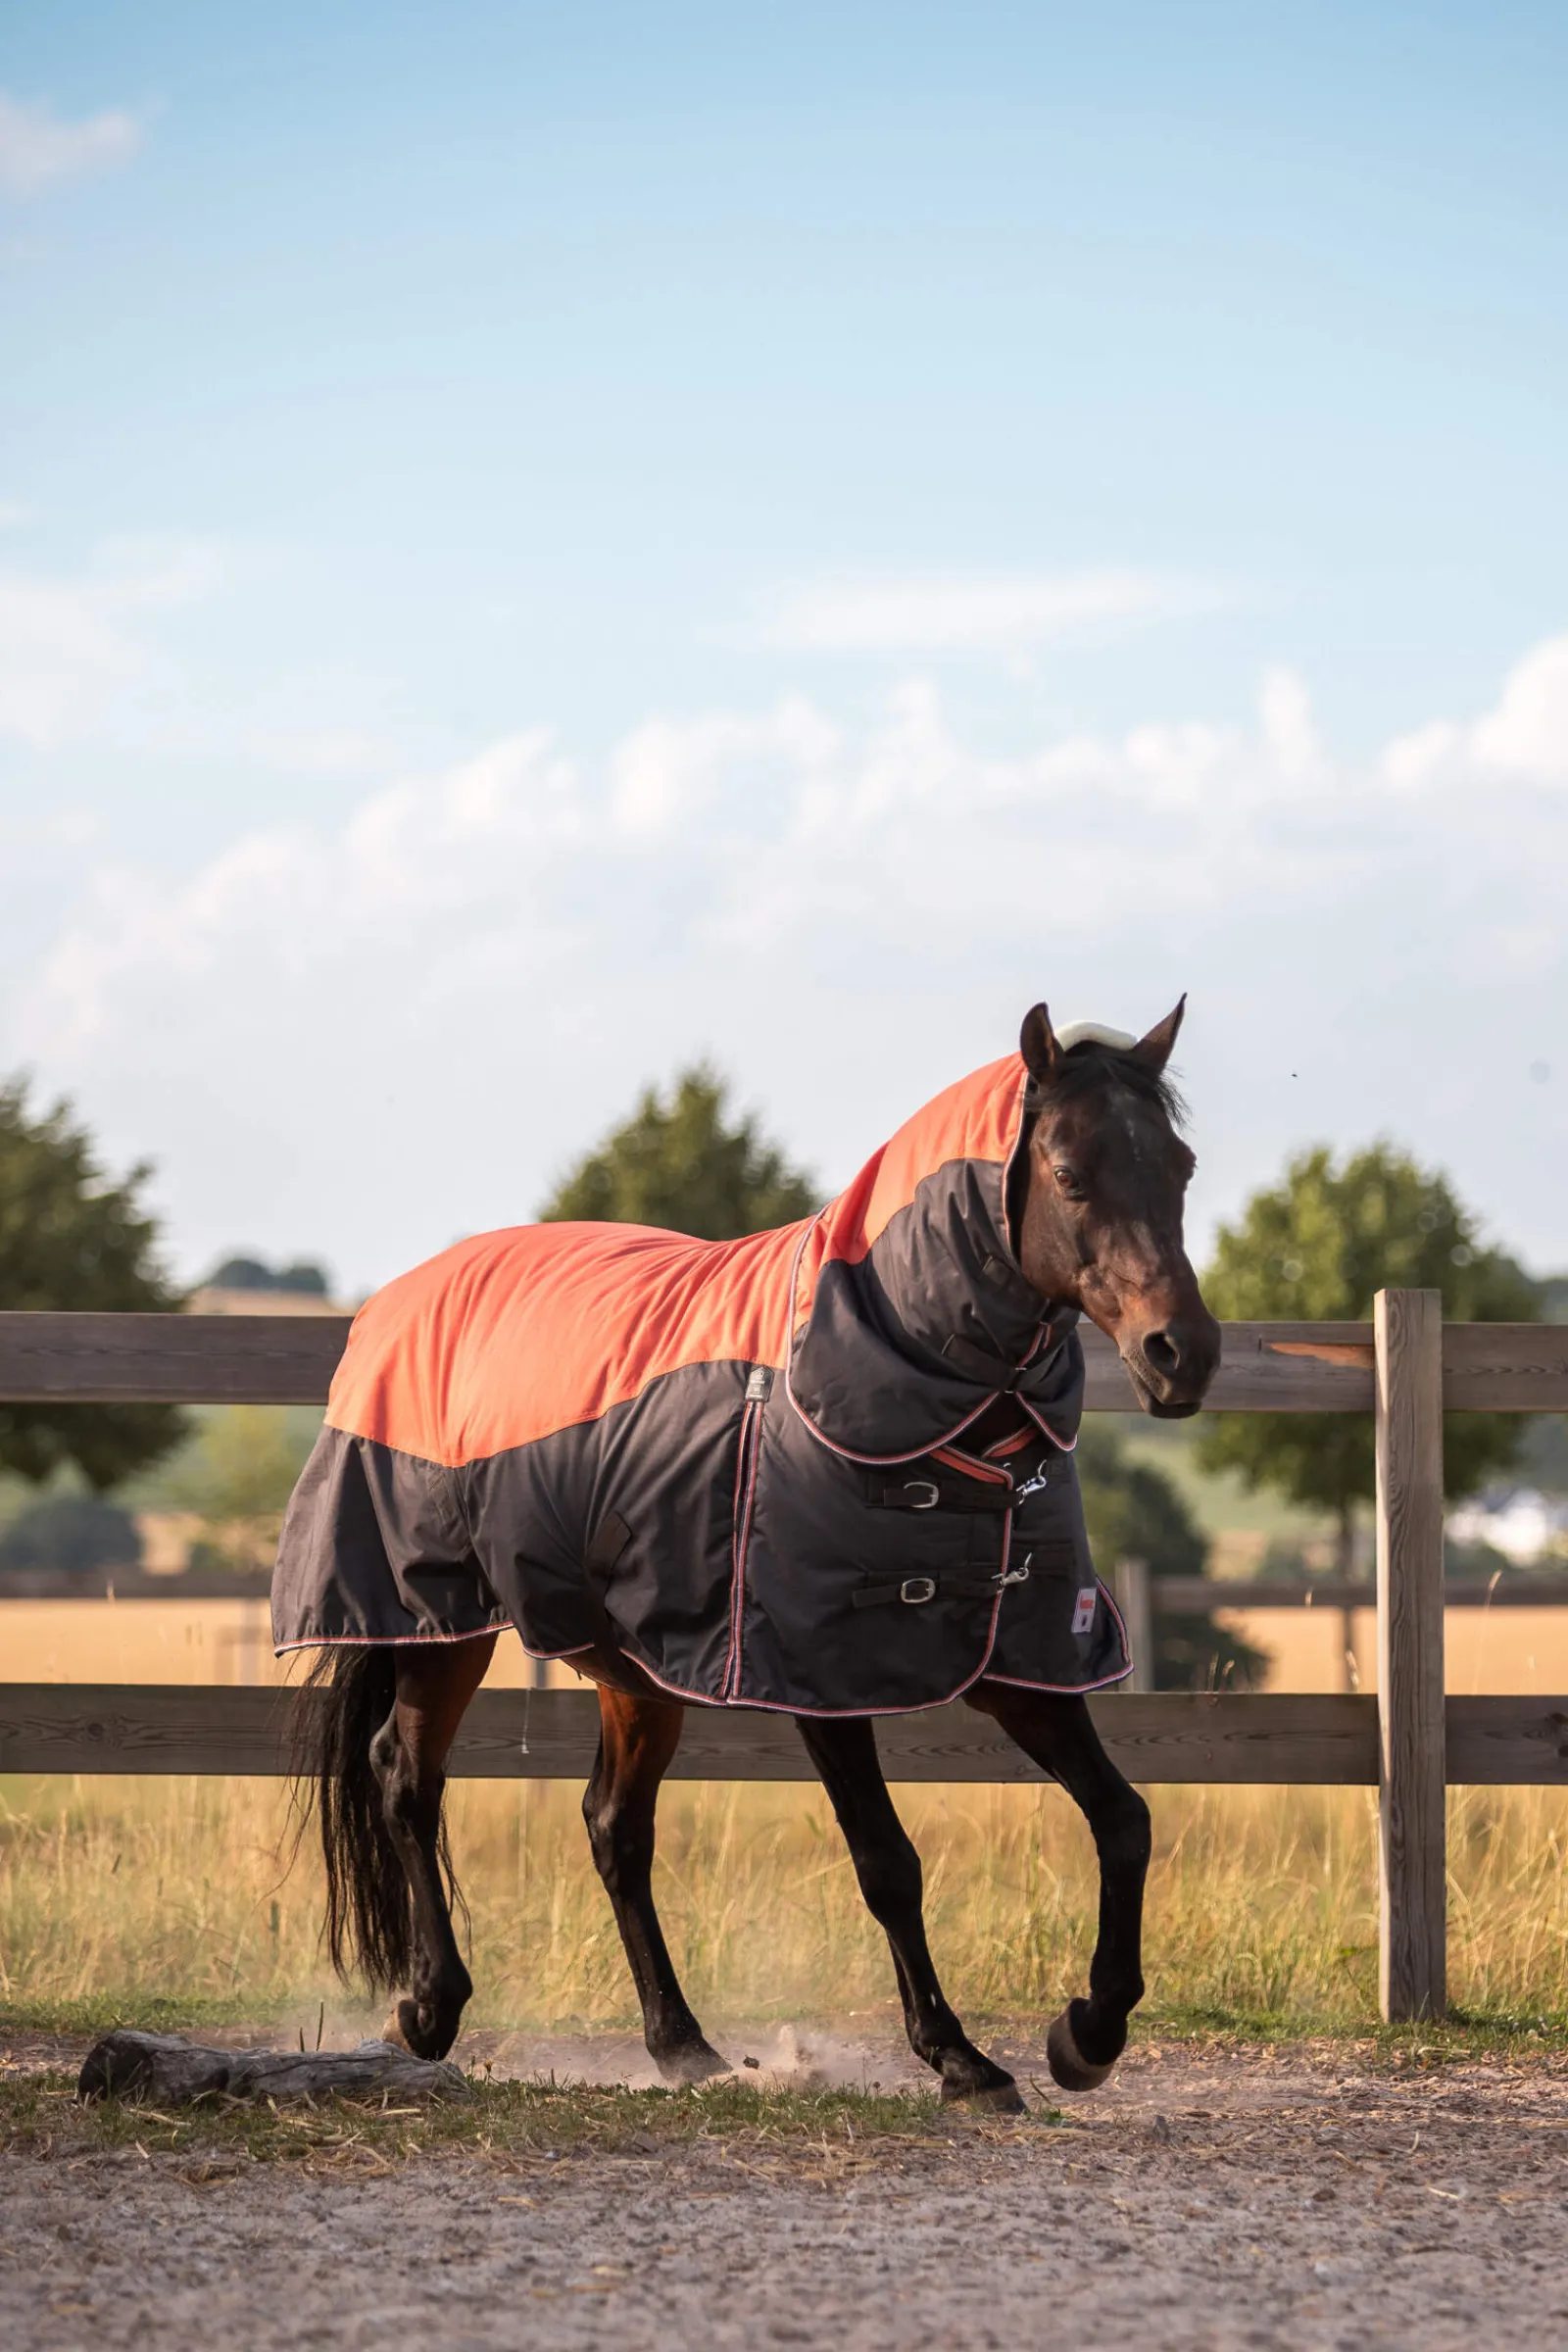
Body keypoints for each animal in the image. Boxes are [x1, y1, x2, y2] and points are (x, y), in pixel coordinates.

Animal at [282, 998, 1219, 2111]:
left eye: (1180, 1165)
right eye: (1071, 1173)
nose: (1183, 1355)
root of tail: (397, 1300)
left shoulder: (1015, 1657)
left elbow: (1124, 1819)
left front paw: (1087, 2033)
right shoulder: (823, 1675)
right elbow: (887, 1861)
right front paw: (959, 2057)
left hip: (632, 1665)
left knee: (613, 1825)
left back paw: (680, 2042)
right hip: (438, 1619)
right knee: (405, 1778)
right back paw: (430, 2009)